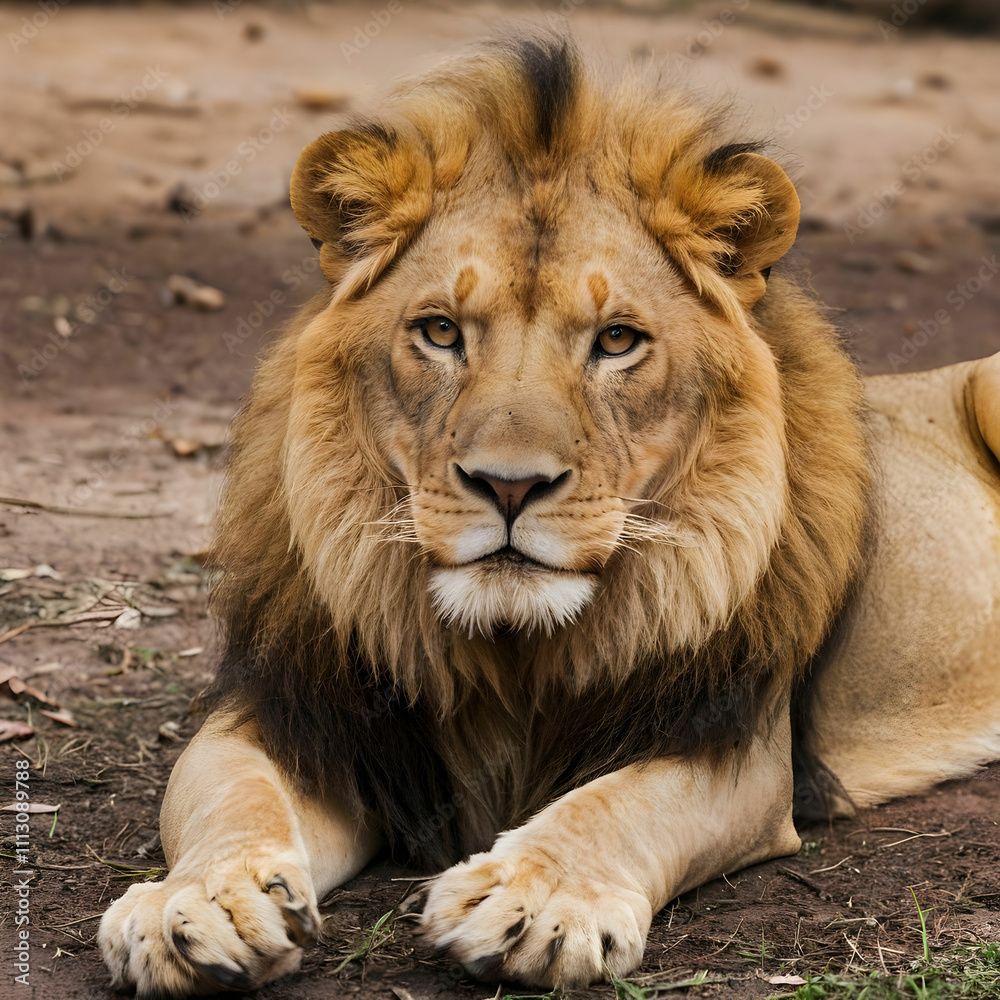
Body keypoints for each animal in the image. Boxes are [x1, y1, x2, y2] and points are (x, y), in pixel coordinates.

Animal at [98, 33, 1000, 996]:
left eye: (616, 340)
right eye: (441, 331)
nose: (508, 486)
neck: (510, 654)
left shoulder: (735, 741)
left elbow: (614, 803)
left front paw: (534, 899)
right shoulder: (302, 709)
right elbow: (231, 793)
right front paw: (198, 904)